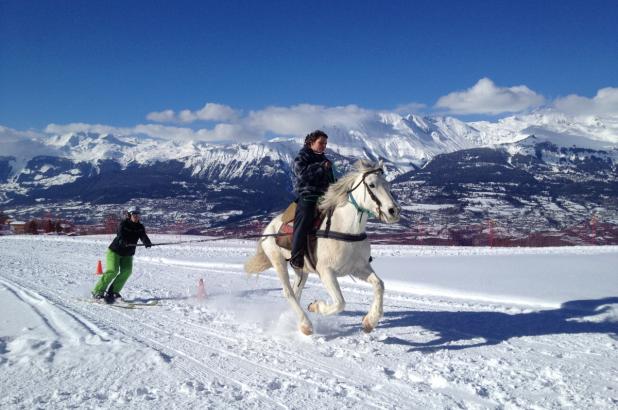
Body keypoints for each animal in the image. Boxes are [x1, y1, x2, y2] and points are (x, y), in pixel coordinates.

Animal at [244, 159, 400, 334]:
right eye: (372, 185)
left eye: (387, 185)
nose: (393, 211)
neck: (345, 229)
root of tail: (268, 229)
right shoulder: (326, 272)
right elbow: (340, 303)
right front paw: (315, 306)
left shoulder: (358, 268)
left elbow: (379, 285)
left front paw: (369, 322)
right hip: (278, 262)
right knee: (288, 292)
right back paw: (306, 325)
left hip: (301, 269)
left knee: (296, 292)